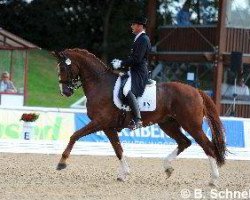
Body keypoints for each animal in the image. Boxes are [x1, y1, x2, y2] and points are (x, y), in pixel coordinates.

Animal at [52, 47, 227, 185]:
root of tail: (196, 90)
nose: (65, 92)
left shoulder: (99, 122)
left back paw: (213, 179)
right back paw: (168, 167)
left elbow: (75, 135)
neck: (100, 83)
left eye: (63, 68)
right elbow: (118, 149)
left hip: (191, 125)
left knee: (208, 146)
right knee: (184, 142)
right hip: (168, 124)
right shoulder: (108, 127)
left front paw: (61, 162)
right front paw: (124, 174)